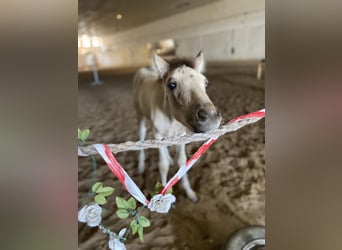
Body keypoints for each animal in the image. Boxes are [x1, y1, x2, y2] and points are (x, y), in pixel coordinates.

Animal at [132, 51, 220, 201]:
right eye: (171, 85)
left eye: (205, 83)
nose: (211, 117)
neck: (171, 119)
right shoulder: (158, 134)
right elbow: (163, 165)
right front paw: (163, 195)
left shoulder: (180, 136)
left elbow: (182, 162)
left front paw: (190, 192)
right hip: (141, 117)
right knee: (142, 137)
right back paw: (141, 166)